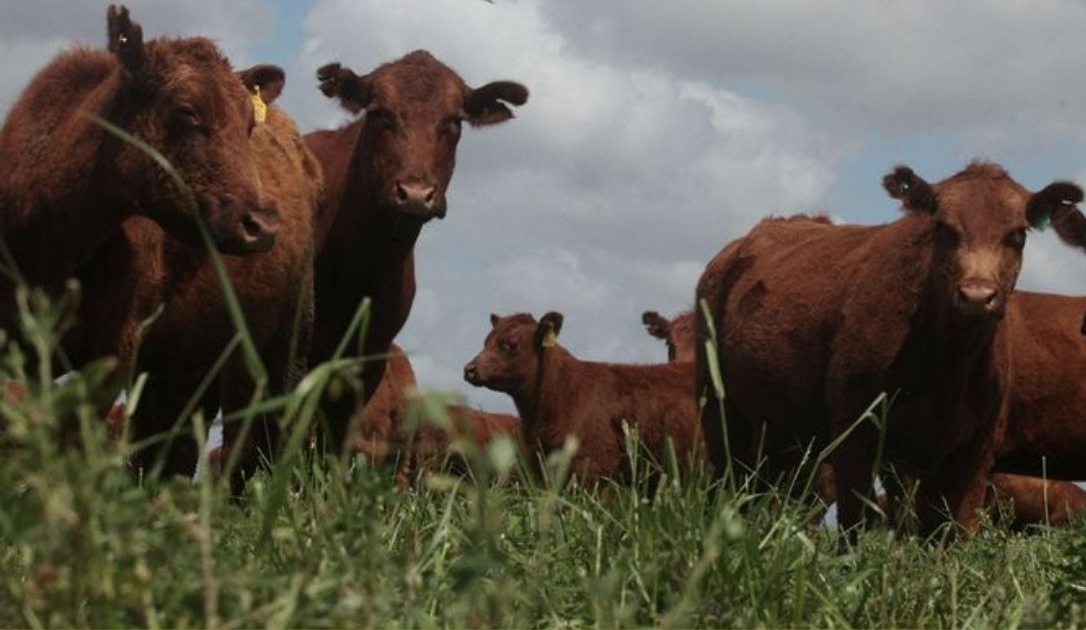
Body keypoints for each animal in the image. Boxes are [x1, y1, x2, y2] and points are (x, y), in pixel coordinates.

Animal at [695, 162, 1086, 536]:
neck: (946, 364)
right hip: (721, 415)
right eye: (942, 228)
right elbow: (857, 525)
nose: (977, 297)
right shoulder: (856, 436)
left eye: (1017, 234)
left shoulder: (971, 455)